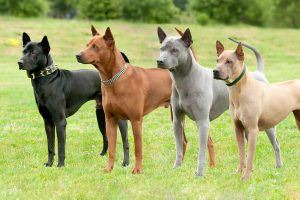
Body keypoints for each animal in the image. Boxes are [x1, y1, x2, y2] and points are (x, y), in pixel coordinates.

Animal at [17, 32, 130, 167]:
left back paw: (126, 162)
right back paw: (103, 156)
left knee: (126, 141)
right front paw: (49, 164)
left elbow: (61, 146)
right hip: (101, 116)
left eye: (33, 52)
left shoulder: (60, 121)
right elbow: (50, 146)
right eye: (23, 51)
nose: (19, 62)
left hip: (119, 119)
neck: (47, 79)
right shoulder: (48, 122)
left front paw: (60, 165)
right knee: (106, 137)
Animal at [76, 26, 214, 173]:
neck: (115, 80)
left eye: (95, 47)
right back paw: (179, 165)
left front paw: (137, 170)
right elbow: (111, 149)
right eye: (87, 45)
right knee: (183, 141)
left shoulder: (136, 120)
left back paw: (212, 166)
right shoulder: (110, 120)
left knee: (209, 142)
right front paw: (108, 169)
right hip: (176, 116)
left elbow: (138, 148)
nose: (77, 55)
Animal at [156, 27, 282, 177]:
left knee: (276, 144)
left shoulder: (203, 123)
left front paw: (199, 173)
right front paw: (177, 167)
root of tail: (259, 73)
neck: (185, 80)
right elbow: (179, 147)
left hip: (268, 125)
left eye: (175, 50)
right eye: (161, 48)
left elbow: (202, 151)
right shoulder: (177, 121)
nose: (159, 61)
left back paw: (278, 167)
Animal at [213, 40, 300, 180]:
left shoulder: (253, 130)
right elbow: (242, 153)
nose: (215, 71)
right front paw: (238, 172)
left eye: (229, 61)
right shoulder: (238, 128)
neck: (240, 90)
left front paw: (246, 177)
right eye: (217, 60)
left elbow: (250, 156)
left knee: (276, 145)